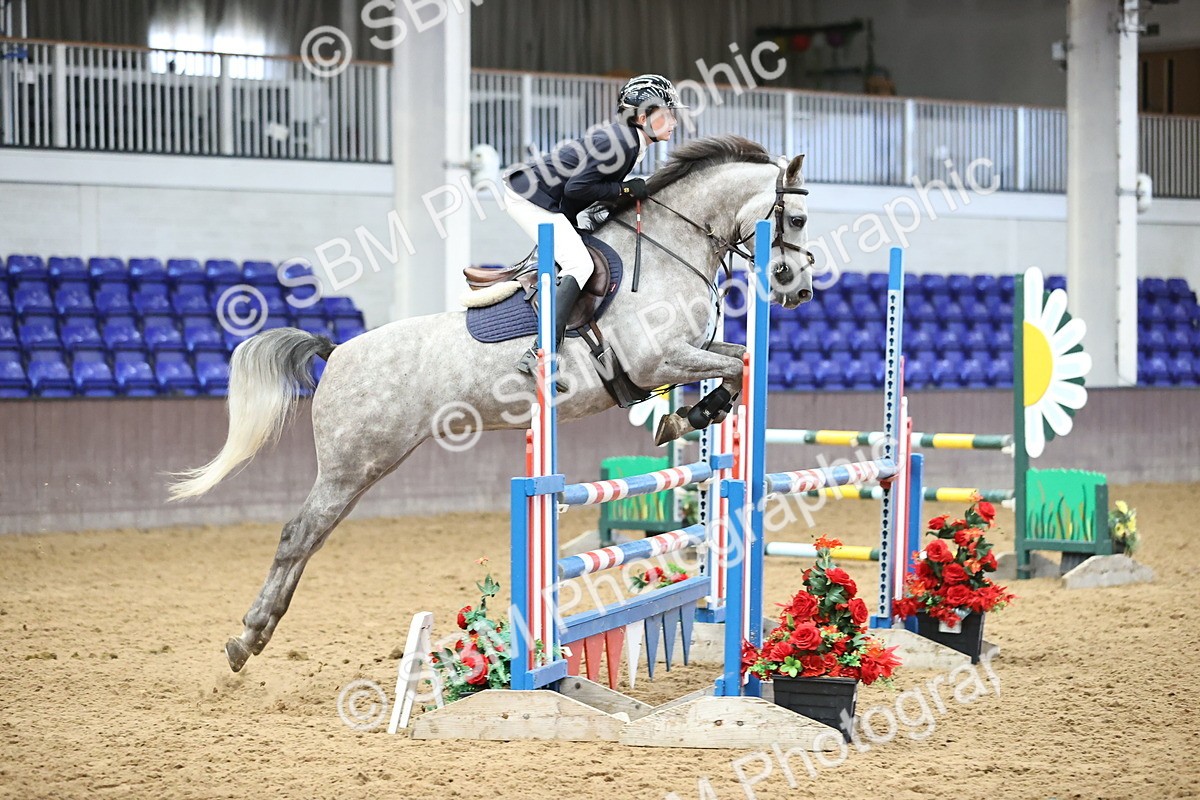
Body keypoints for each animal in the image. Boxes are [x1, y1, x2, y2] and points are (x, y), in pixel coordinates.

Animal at [168, 134, 814, 672]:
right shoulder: (658, 361)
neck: (665, 251)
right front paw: (691, 414)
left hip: (371, 464)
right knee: (297, 534)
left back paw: (256, 635)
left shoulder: (687, 352)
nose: (799, 288)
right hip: (352, 462)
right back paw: (246, 639)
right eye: (800, 217)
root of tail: (339, 350)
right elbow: (738, 364)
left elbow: (738, 358)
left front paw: (695, 414)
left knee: (312, 536)